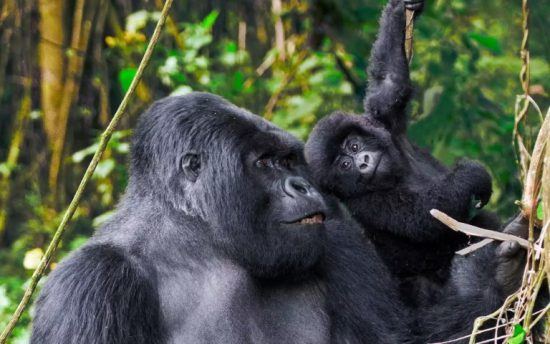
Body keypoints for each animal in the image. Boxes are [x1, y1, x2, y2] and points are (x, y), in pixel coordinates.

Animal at [306, 0, 504, 298]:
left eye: (354, 145)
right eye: (344, 166)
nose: (363, 162)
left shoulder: (384, 123)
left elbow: (390, 83)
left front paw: (400, 11)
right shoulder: (367, 202)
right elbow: (423, 216)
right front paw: (472, 176)